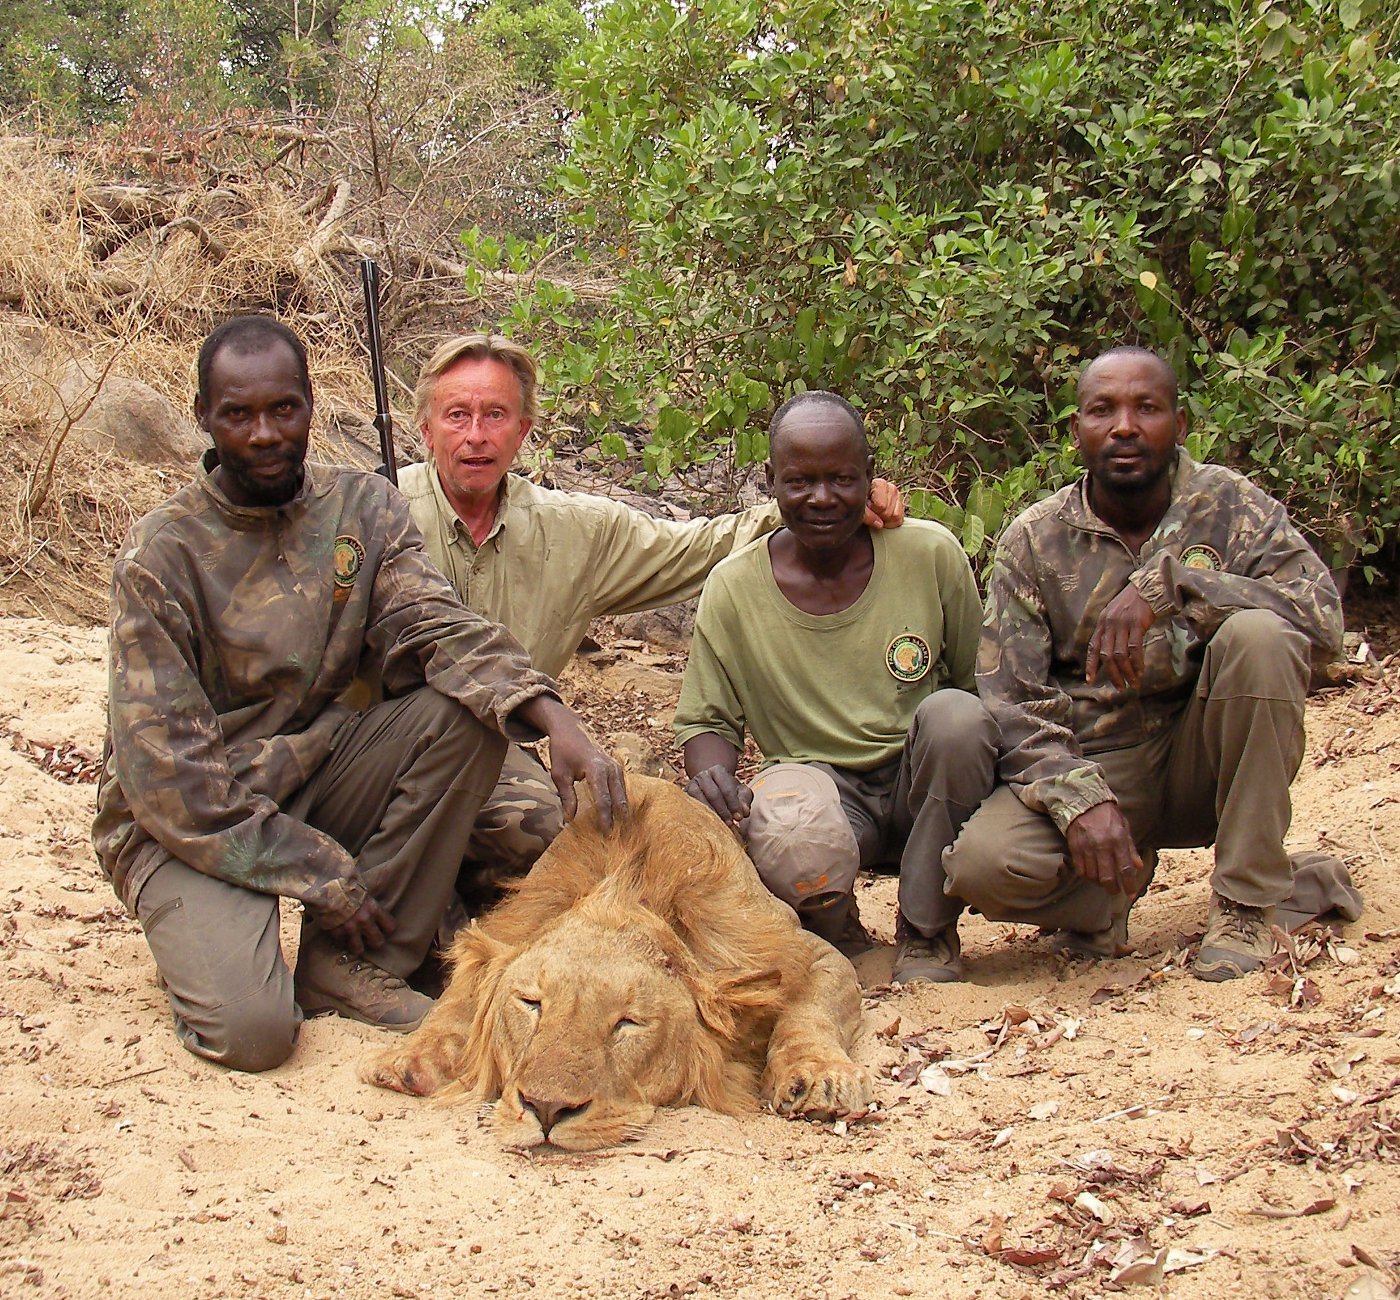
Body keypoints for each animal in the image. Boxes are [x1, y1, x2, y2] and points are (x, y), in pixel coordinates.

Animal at [366, 772, 868, 1147]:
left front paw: (819, 1077)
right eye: (531, 1005)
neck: (628, 889)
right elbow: (454, 1002)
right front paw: (409, 1059)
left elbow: (810, 1012)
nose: (546, 1109)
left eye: (629, 1023)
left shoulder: (801, 950)